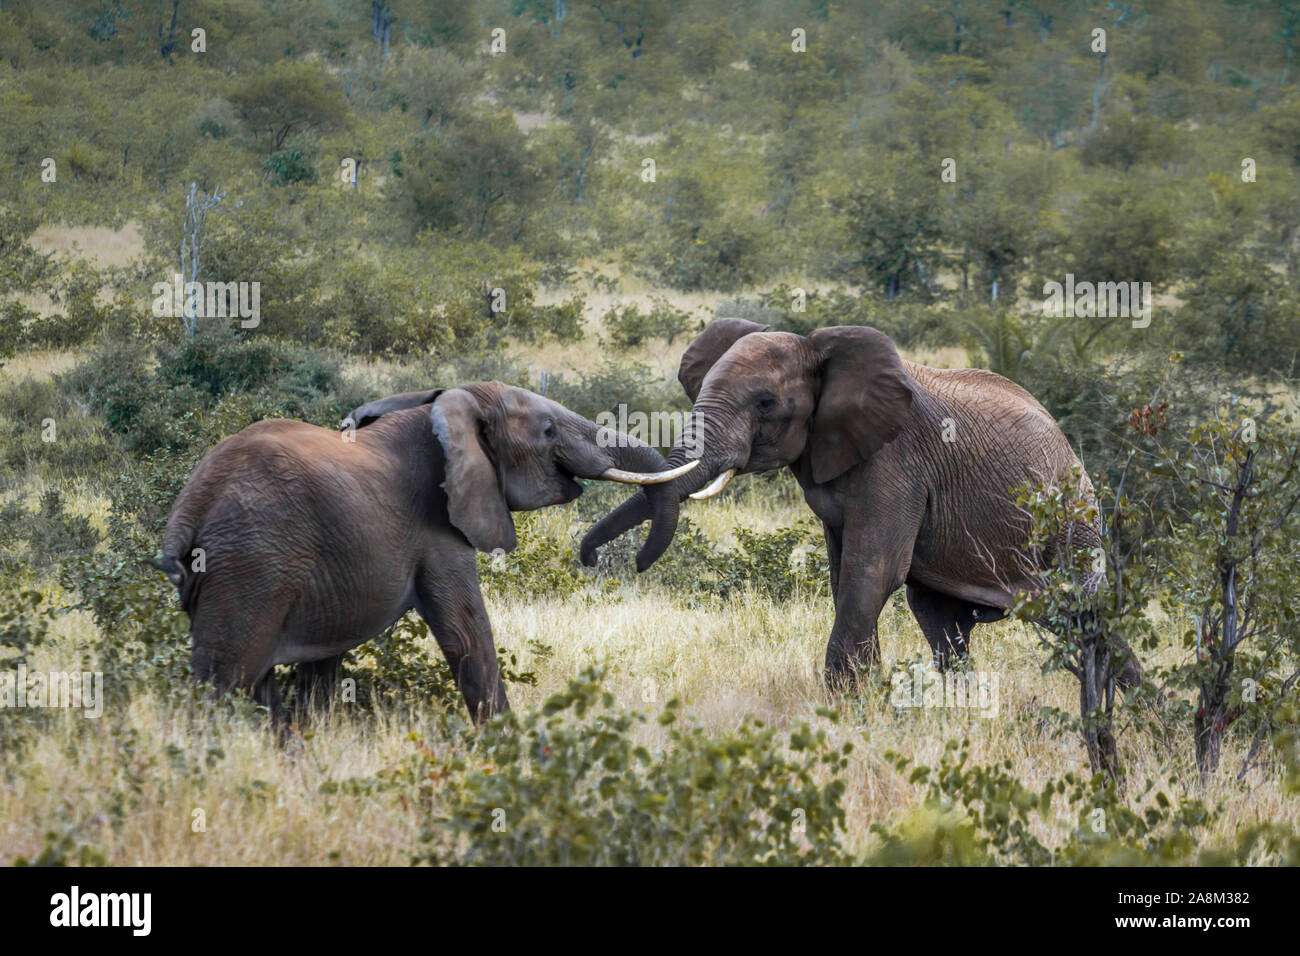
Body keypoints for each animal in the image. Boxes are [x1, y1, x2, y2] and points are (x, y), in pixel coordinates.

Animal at [157, 382, 696, 723]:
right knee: (223, 682)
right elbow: (466, 635)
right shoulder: (438, 526)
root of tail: (190, 507)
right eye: (547, 431)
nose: (595, 559)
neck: (446, 407)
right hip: (250, 567)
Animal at [579, 319, 1138, 686]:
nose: (590, 558)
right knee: (940, 620)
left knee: (1084, 613)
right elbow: (846, 571)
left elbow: (872, 572)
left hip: (1071, 516)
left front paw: (847, 704)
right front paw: (866, 695)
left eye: (766, 403)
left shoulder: (898, 464)